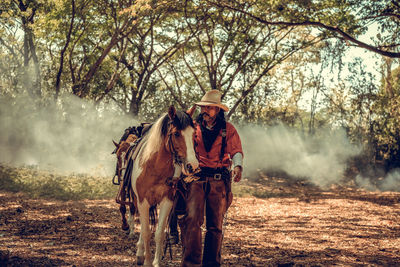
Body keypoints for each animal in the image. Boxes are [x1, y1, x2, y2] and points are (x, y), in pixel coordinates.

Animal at [128, 105, 198, 266]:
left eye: (193, 135)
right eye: (176, 133)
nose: (193, 165)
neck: (154, 166)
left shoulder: (167, 201)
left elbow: (159, 233)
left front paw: (156, 262)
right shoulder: (143, 201)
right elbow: (146, 232)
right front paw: (147, 261)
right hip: (137, 201)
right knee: (143, 227)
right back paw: (140, 254)